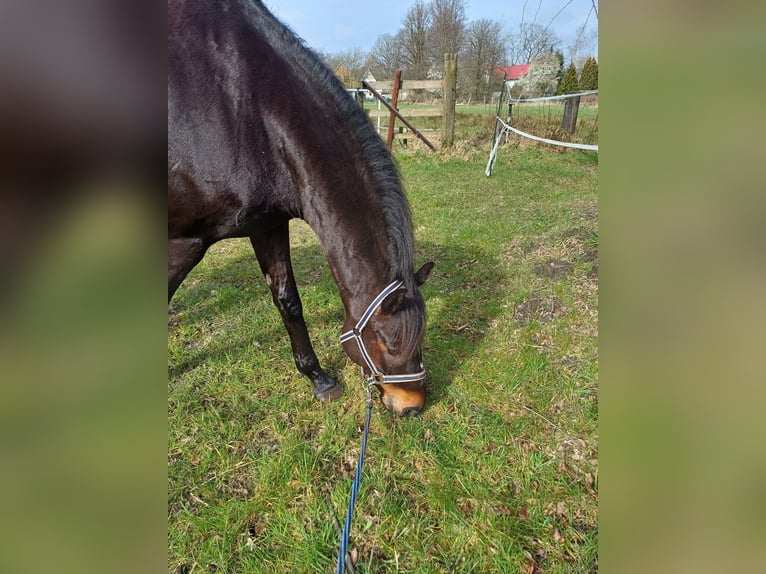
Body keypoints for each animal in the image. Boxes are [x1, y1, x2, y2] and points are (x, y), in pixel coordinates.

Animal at [168, 0, 434, 416]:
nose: (412, 406)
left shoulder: (266, 225)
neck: (242, 107)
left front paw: (318, 378)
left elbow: (288, 301)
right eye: (387, 342)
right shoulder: (185, 241)